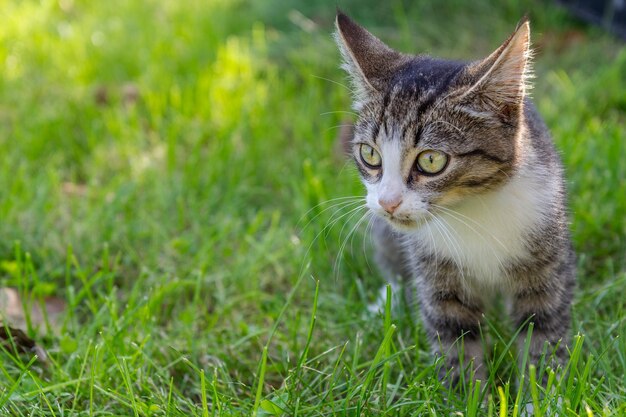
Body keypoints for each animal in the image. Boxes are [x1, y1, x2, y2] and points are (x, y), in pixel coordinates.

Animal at [334, 12, 572, 384]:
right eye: (369, 154)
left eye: (431, 161)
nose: (388, 202)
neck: (472, 209)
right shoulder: (434, 268)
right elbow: (455, 332)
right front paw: (467, 390)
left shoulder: (545, 245)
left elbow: (543, 324)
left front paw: (542, 389)